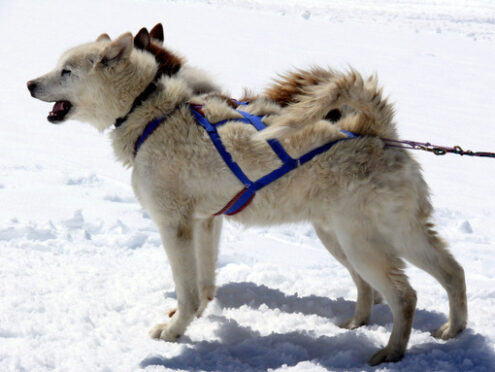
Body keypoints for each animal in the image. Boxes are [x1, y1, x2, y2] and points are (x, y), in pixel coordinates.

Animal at [28, 26, 468, 366]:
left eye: (66, 71)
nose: (29, 83)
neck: (150, 111)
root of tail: (373, 129)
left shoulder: (173, 226)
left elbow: (186, 290)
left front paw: (174, 331)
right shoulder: (205, 224)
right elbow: (203, 285)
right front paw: (197, 315)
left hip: (363, 246)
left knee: (404, 295)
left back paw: (391, 353)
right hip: (373, 236)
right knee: (450, 271)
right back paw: (451, 329)